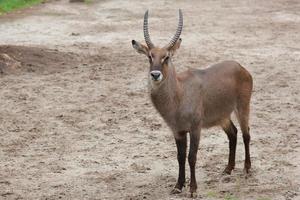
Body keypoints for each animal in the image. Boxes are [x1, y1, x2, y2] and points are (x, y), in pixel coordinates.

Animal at [131, 9, 253, 197]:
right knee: (233, 133)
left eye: (166, 57)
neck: (179, 95)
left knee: (246, 134)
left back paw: (247, 169)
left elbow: (192, 157)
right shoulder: (178, 131)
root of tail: (240, 67)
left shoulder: (195, 129)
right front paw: (178, 186)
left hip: (242, 107)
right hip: (223, 117)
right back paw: (227, 169)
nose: (155, 75)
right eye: (150, 56)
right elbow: (180, 157)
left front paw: (193, 190)